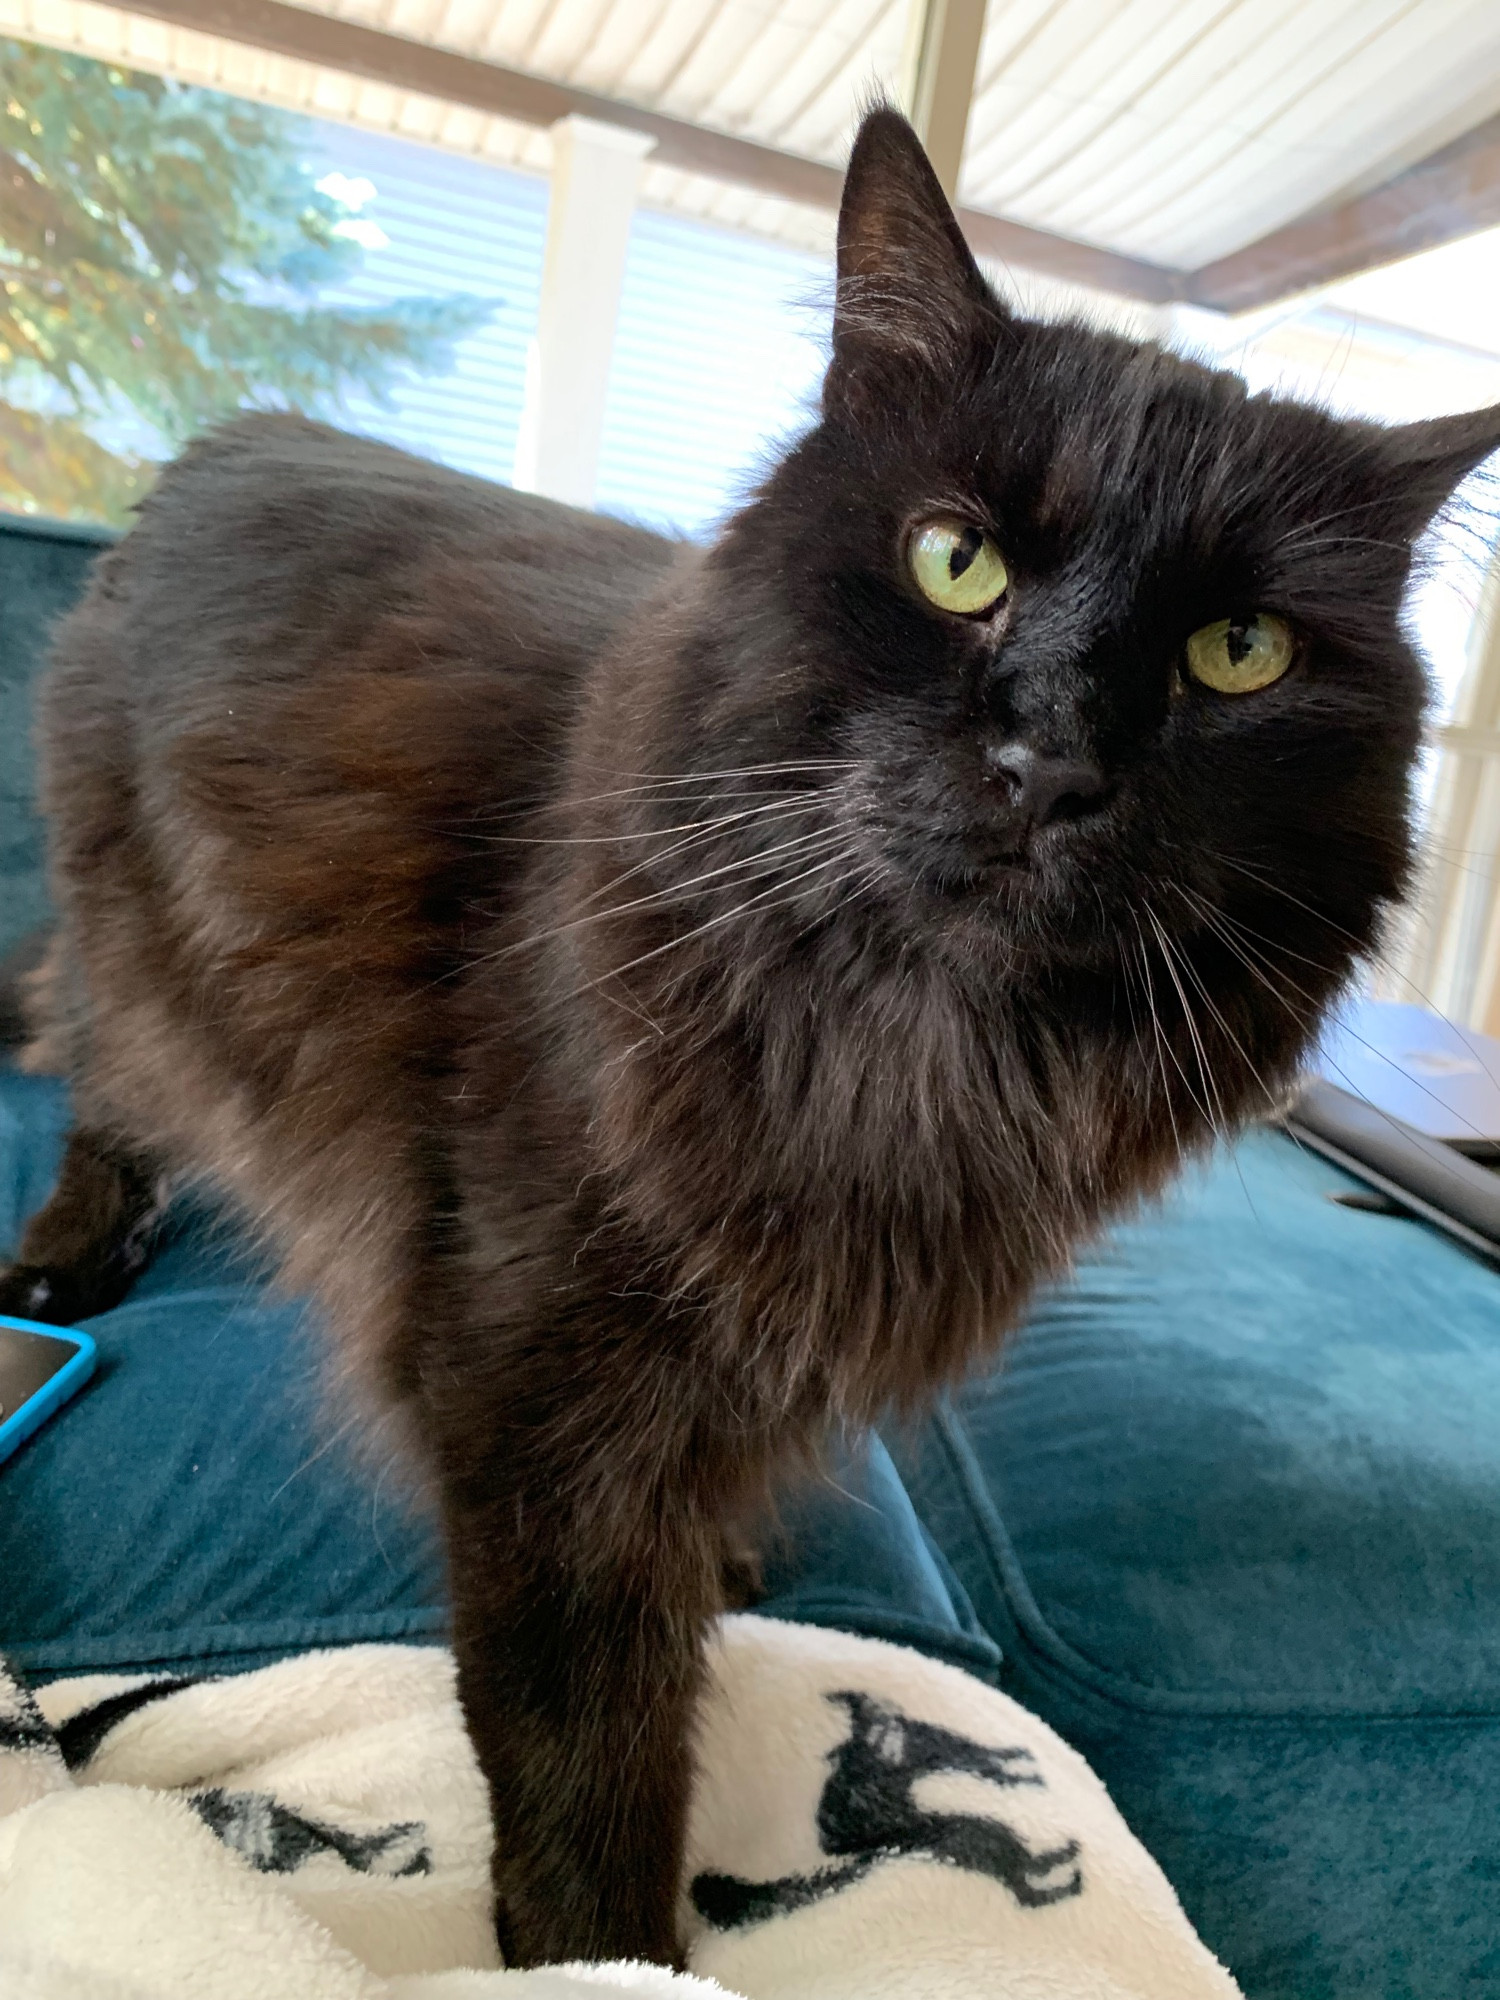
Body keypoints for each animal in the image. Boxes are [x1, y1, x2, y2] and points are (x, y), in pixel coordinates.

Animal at [5, 113, 1496, 1968]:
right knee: (111, 1086)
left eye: (1239, 654)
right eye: (956, 562)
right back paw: (68, 1251)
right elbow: (586, 1740)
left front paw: (725, 1566)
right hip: (146, 961)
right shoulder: (537, 1386)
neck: (912, 1057)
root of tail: (227, 438)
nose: (1056, 761)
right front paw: (601, 1962)